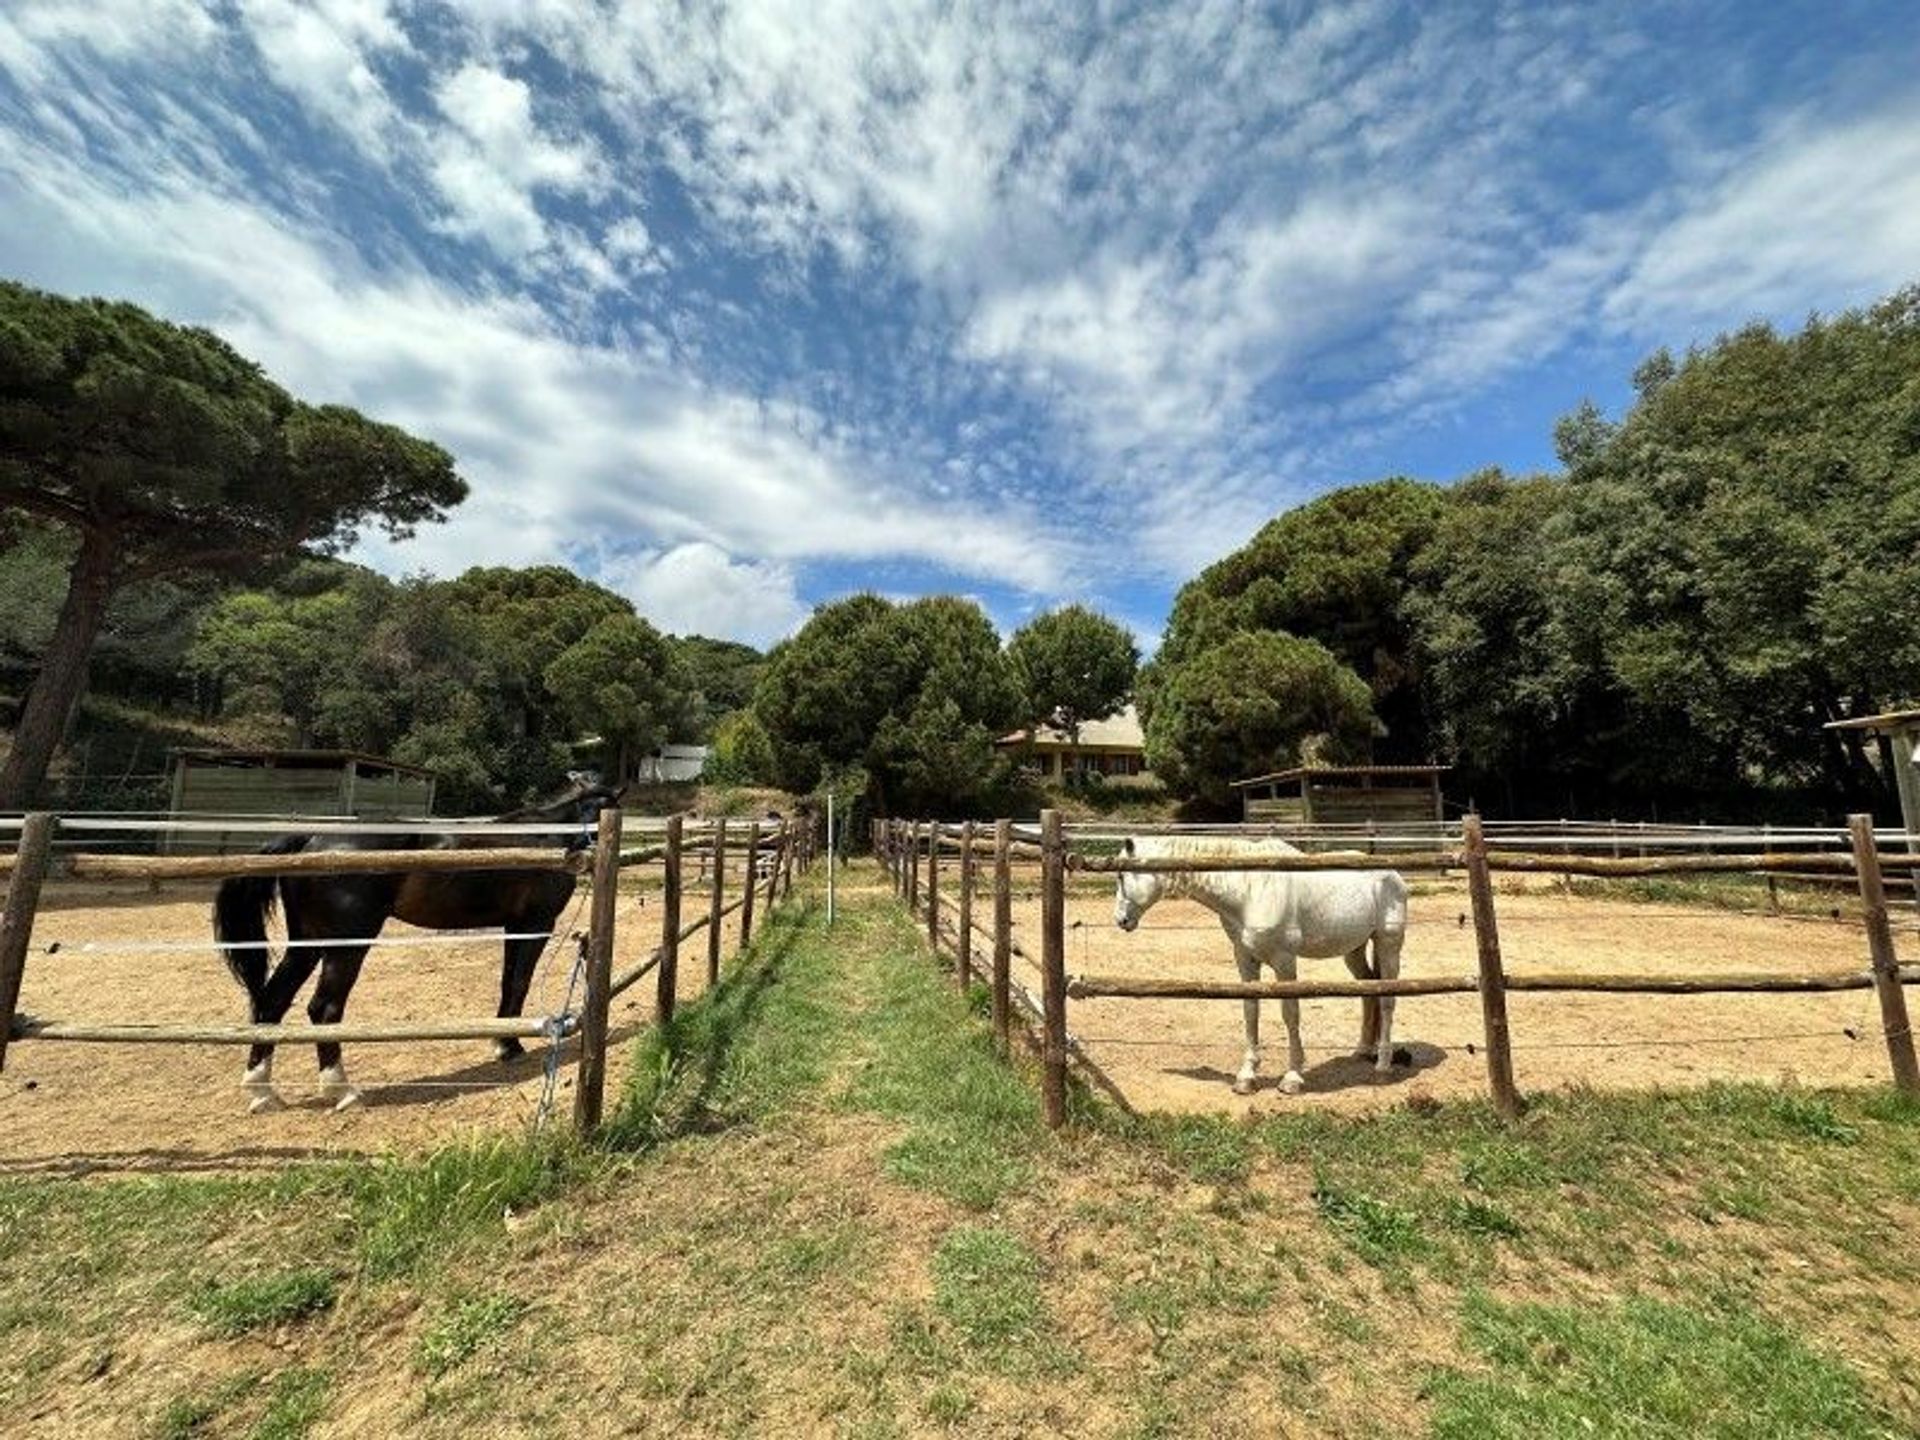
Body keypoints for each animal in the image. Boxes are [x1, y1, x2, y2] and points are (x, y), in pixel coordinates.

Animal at [216, 779, 622, 1113]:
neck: (547, 837)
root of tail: (312, 841)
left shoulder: (514, 926)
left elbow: (508, 983)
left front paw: (502, 1044)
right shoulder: (536, 925)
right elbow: (520, 982)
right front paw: (509, 1046)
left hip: (308, 943)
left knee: (273, 1001)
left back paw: (262, 1092)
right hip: (346, 946)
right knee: (324, 1009)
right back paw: (342, 1090)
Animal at [1113, 833, 1413, 1090]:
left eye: (1121, 874)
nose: (1121, 921)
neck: (1250, 888)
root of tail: (1394, 875)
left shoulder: (1284, 960)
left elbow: (1290, 1013)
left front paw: (1293, 1077)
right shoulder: (1245, 958)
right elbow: (1250, 1011)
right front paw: (1246, 1076)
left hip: (1388, 945)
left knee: (1388, 1000)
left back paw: (1382, 1065)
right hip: (1354, 950)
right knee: (1369, 991)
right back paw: (1363, 1050)